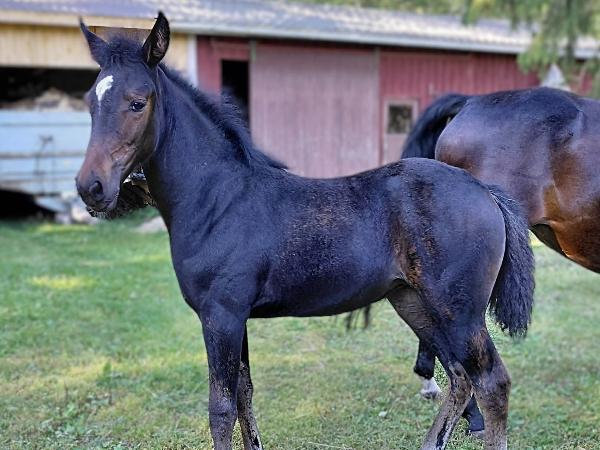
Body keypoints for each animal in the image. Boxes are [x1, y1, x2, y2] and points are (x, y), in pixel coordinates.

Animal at [76, 13, 534, 450]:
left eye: (138, 103)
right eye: (89, 101)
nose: (90, 187)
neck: (217, 198)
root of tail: (484, 191)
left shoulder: (220, 315)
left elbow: (221, 408)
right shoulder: (235, 318)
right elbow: (244, 394)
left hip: (459, 311)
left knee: (491, 382)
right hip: (415, 303)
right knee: (459, 378)